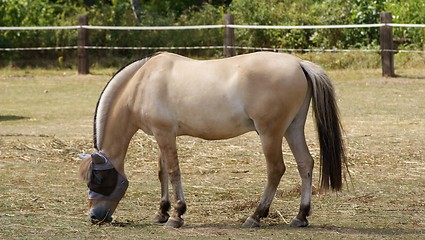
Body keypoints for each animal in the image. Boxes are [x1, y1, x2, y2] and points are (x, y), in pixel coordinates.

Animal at [78, 51, 344, 228]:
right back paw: (300, 216)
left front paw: (177, 215)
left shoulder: (165, 134)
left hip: (270, 133)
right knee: (305, 164)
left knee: (276, 169)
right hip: (292, 128)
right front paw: (161, 212)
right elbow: (162, 172)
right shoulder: (162, 135)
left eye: (98, 179)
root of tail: (298, 63)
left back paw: (255, 216)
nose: (94, 217)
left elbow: (173, 172)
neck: (142, 83)